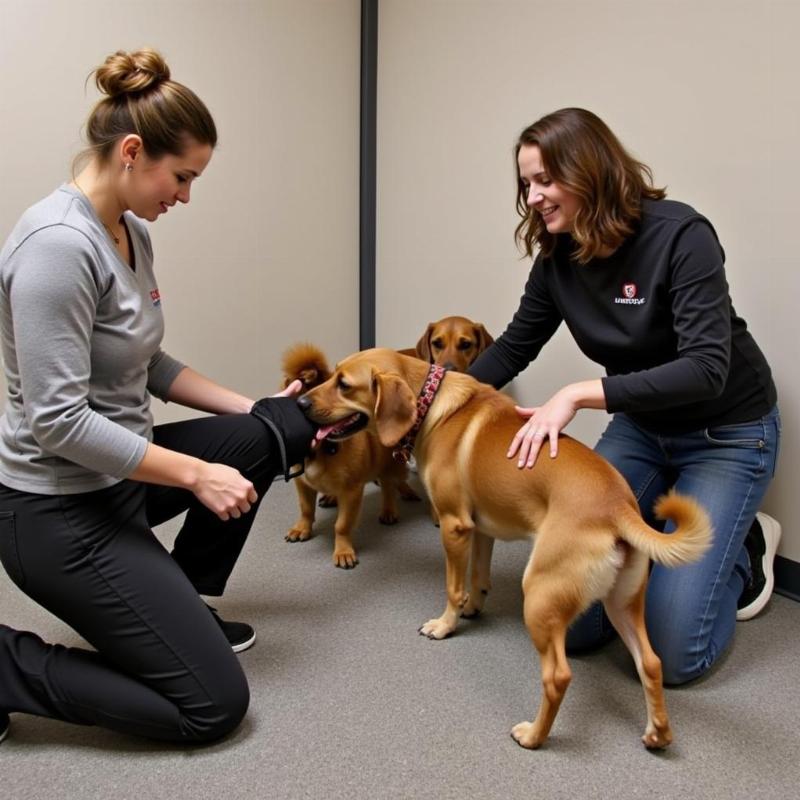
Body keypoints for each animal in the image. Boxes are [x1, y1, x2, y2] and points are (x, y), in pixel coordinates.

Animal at [282, 344, 418, 568]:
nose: (301, 403)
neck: (322, 449)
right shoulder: (302, 484)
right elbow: (306, 509)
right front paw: (302, 528)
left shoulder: (351, 491)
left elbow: (342, 525)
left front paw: (343, 550)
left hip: (389, 464)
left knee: (389, 486)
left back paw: (392, 507)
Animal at [296, 348, 712, 752]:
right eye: (333, 374)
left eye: (344, 384)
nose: (300, 402)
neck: (432, 408)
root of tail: (618, 507)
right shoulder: (480, 530)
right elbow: (478, 579)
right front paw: (473, 608)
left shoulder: (454, 527)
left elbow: (453, 587)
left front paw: (445, 625)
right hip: (621, 602)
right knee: (651, 663)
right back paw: (658, 733)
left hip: (541, 595)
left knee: (558, 676)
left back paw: (534, 736)